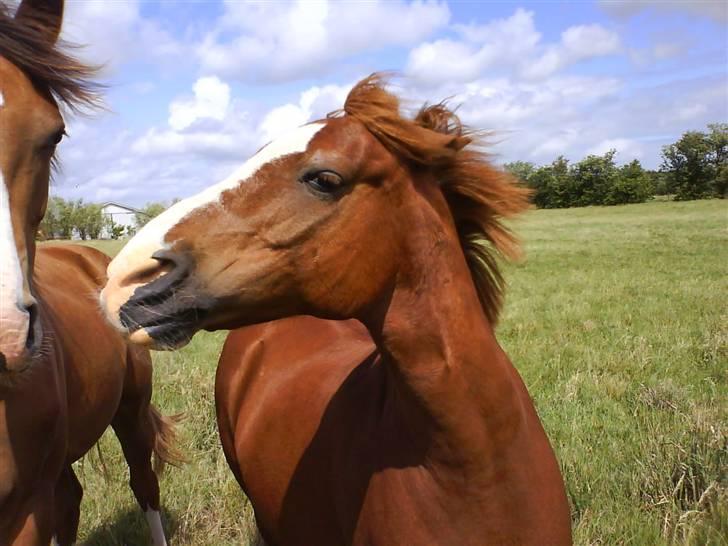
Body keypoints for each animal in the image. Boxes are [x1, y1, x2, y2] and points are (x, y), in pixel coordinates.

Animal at [0, 2, 178, 540]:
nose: (7, 336)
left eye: (52, 134)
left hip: (131, 411)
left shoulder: (25, 513)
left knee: (144, 485)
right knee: (71, 498)